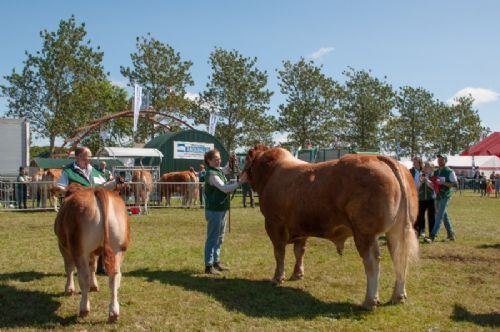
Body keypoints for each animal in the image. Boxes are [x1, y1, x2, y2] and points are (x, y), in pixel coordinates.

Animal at [54, 184, 131, 322]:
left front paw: (69, 289)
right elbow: (93, 266)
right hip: (118, 249)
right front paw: (94, 286)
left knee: (83, 277)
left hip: (79, 249)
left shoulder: (63, 247)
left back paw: (84, 309)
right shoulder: (94, 252)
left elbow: (69, 268)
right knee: (115, 277)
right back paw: (114, 312)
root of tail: (98, 190)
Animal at [243, 146, 418, 312]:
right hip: (397, 231)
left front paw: (277, 278)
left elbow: (279, 253)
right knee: (400, 257)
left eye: (245, 160)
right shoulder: (301, 228)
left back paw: (369, 301)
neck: (270, 174)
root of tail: (380, 158)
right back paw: (398, 296)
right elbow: (299, 251)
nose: (239, 176)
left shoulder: (274, 223)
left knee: (372, 261)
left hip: (365, 232)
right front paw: (297, 274)